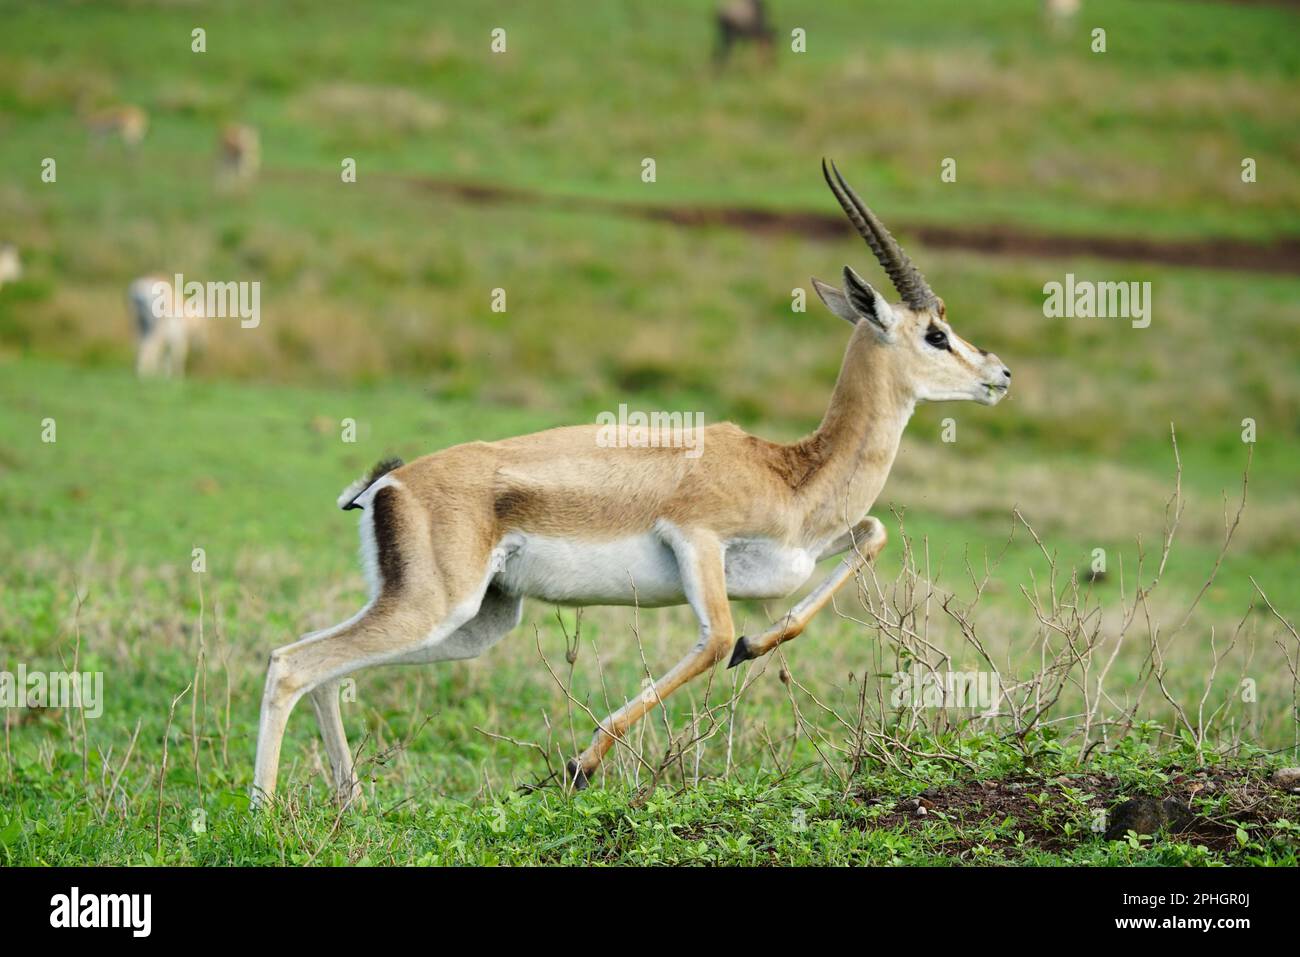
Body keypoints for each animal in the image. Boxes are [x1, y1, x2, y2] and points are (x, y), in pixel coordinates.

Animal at [248, 160, 1008, 806]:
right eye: (936, 334)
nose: (998, 375)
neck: (790, 473)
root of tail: (390, 483)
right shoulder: (697, 540)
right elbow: (714, 639)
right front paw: (581, 764)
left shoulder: (797, 555)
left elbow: (868, 536)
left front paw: (758, 646)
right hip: (435, 608)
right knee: (292, 662)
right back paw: (263, 814)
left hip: (476, 621)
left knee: (328, 670)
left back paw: (350, 802)